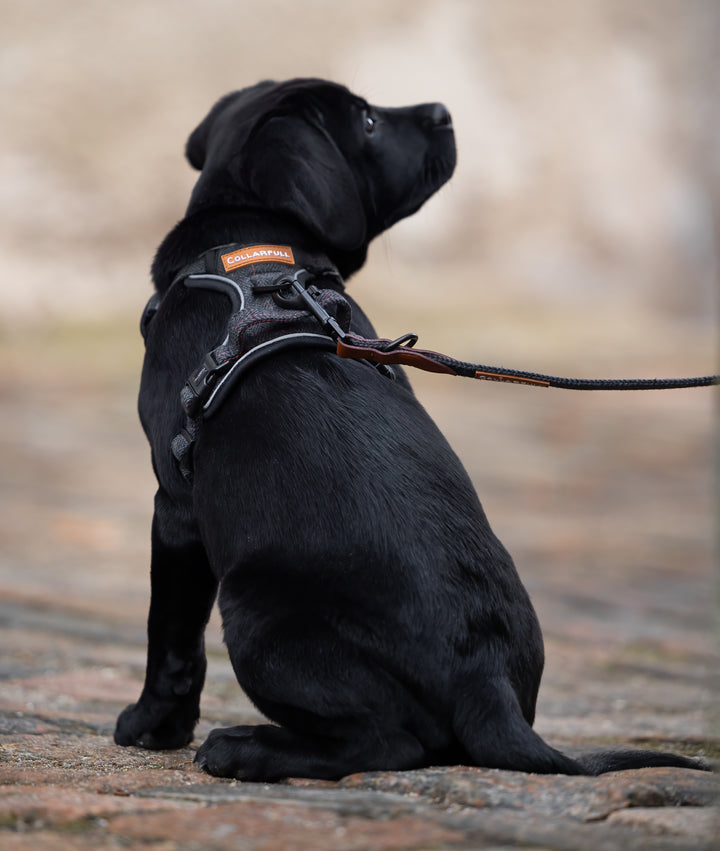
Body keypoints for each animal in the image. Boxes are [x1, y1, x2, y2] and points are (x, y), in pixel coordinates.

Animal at [115, 76, 704, 784]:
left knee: (386, 744)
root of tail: (487, 683)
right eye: (368, 122)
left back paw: (245, 747)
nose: (444, 111)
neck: (249, 246)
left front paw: (151, 728)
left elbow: (171, 639)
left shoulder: (175, 506)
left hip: (253, 608)